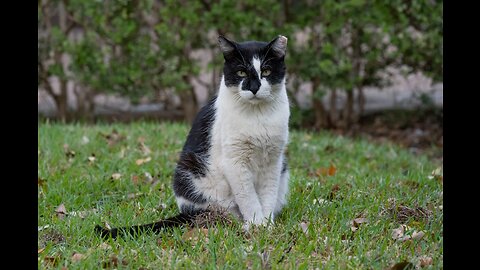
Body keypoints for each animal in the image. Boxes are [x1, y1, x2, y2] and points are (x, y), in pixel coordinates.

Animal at [94, 34, 288, 238]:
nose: (254, 87)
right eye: (241, 72)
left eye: (266, 71)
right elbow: (249, 198)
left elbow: (268, 194)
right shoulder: (234, 162)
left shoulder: (273, 161)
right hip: (192, 173)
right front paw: (256, 225)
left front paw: (267, 226)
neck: (257, 115)